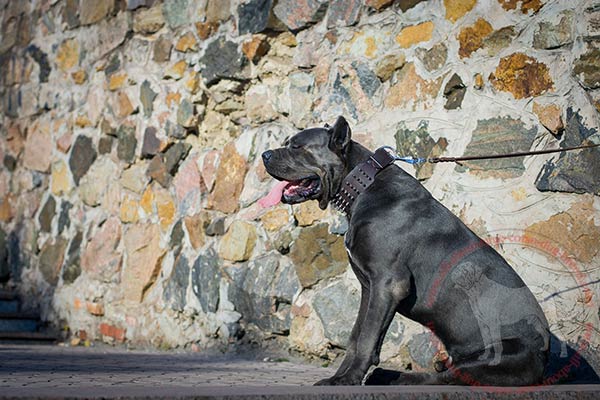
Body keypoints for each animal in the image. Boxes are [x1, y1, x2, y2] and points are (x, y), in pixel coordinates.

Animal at [260, 117, 552, 386]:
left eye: (296, 147)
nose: (265, 155)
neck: (363, 186)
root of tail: (546, 357)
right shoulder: (370, 286)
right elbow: (357, 335)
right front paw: (342, 375)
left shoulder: (388, 283)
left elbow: (366, 338)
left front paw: (346, 380)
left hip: (495, 357)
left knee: (440, 378)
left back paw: (390, 377)